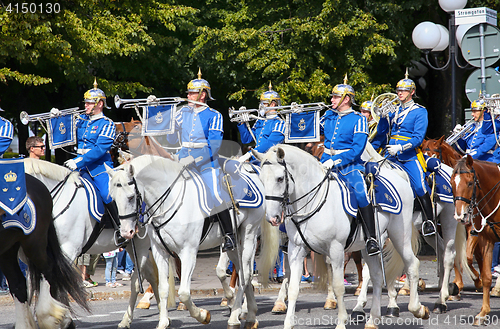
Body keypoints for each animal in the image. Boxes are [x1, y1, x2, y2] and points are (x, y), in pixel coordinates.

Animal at [109, 154, 278, 328]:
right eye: (113, 198)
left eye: (130, 197)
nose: (126, 232)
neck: (169, 201)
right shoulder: (159, 252)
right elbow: (162, 289)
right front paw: (163, 322)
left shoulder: (188, 252)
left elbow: (183, 293)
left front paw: (202, 315)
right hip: (234, 243)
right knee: (244, 272)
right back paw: (249, 315)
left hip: (249, 233)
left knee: (246, 273)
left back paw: (234, 317)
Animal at [256, 145, 428, 328]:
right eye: (261, 179)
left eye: (280, 178)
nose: (272, 218)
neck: (312, 202)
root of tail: (399, 177)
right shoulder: (296, 249)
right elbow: (293, 288)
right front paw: (288, 323)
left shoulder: (336, 249)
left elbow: (338, 286)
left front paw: (341, 322)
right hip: (370, 245)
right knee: (376, 276)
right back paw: (372, 319)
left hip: (399, 236)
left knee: (412, 264)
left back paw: (418, 309)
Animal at [452, 155, 500, 324]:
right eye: (452, 182)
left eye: (470, 183)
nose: (460, 215)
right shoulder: (486, 240)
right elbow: (485, 276)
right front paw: (483, 313)